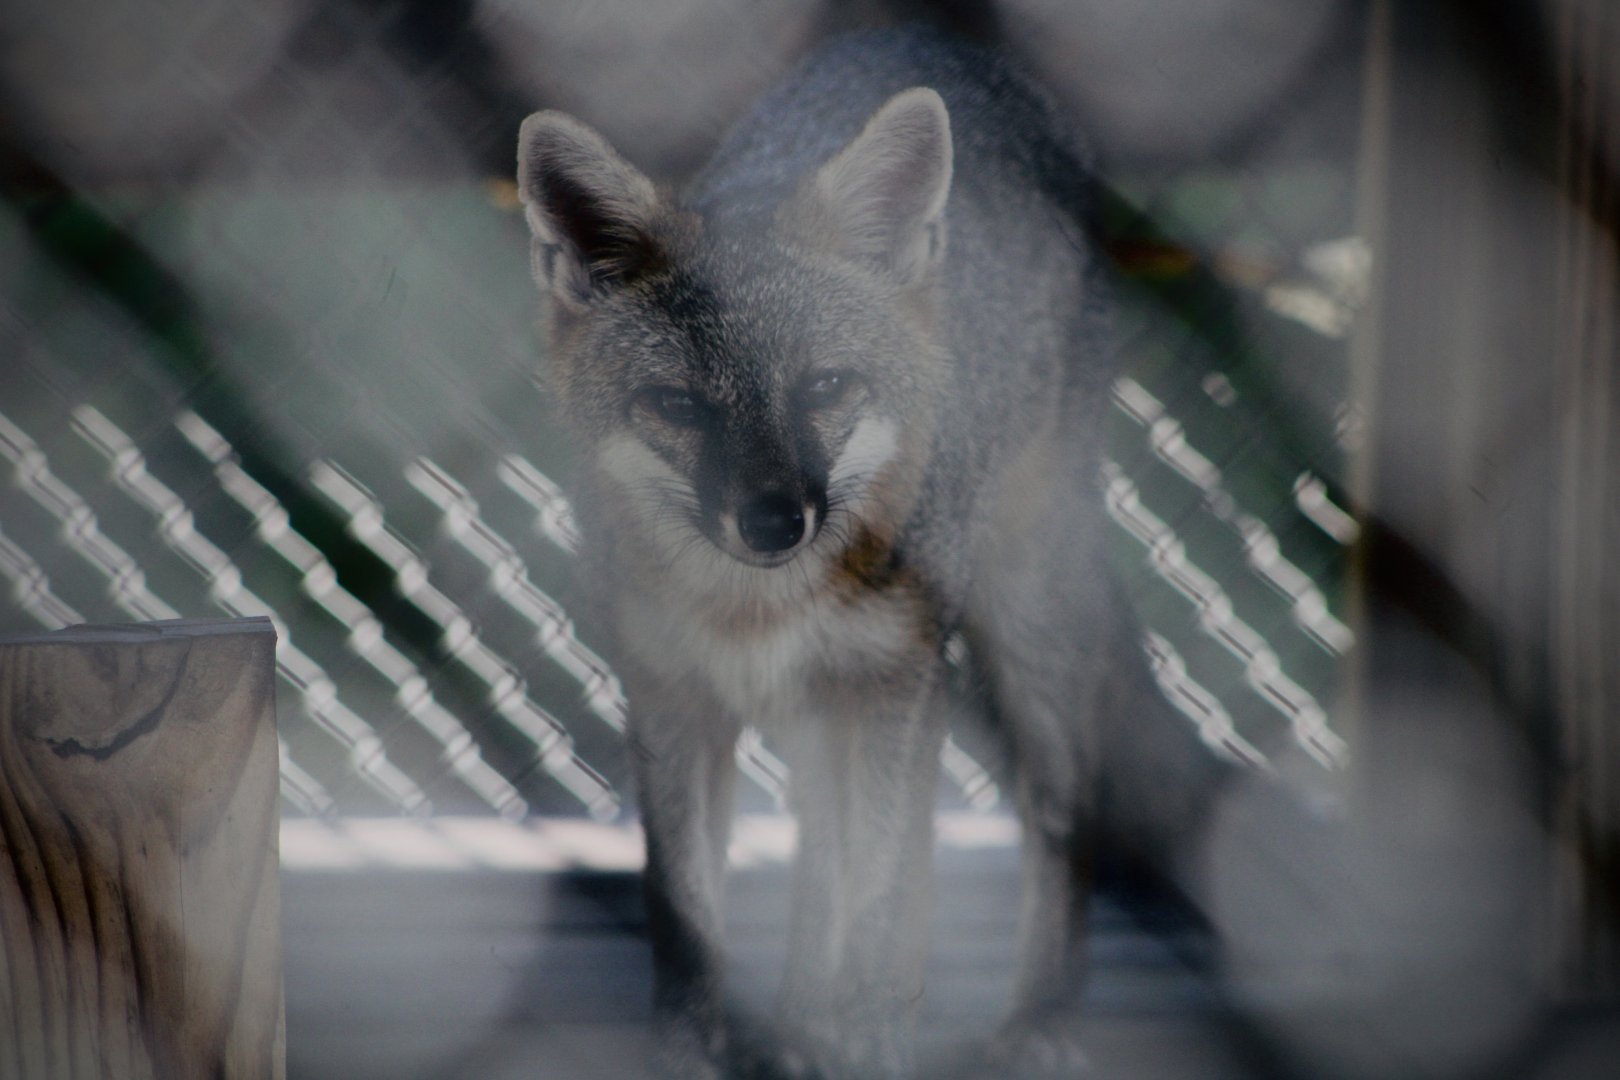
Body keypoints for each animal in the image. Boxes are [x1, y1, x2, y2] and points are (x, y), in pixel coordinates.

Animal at [516, 26, 1226, 1080]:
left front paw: (867, 1039)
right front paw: (692, 1051)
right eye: (678, 406)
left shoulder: (899, 684)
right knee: (818, 850)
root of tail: (929, 35)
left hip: (1021, 630)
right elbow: (686, 918)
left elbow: (883, 905)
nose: (776, 521)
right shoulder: (672, 697)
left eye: (826, 387)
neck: (758, 611)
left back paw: (1040, 1019)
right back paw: (801, 1020)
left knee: (1058, 811)